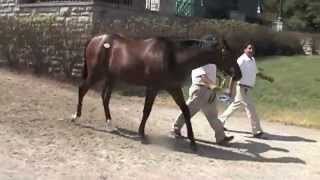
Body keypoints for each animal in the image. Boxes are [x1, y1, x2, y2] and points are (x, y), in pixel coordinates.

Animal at [72, 33, 241, 149]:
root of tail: (95, 39)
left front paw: (192, 142)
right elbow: (147, 110)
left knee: (105, 98)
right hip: (96, 74)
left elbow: (185, 110)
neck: (172, 57)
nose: (239, 74)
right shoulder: (153, 87)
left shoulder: (173, 88)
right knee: (82, 90)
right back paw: (76, 117)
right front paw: (141, 134)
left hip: (111, 77)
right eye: (226, 54)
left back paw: (110, 124)